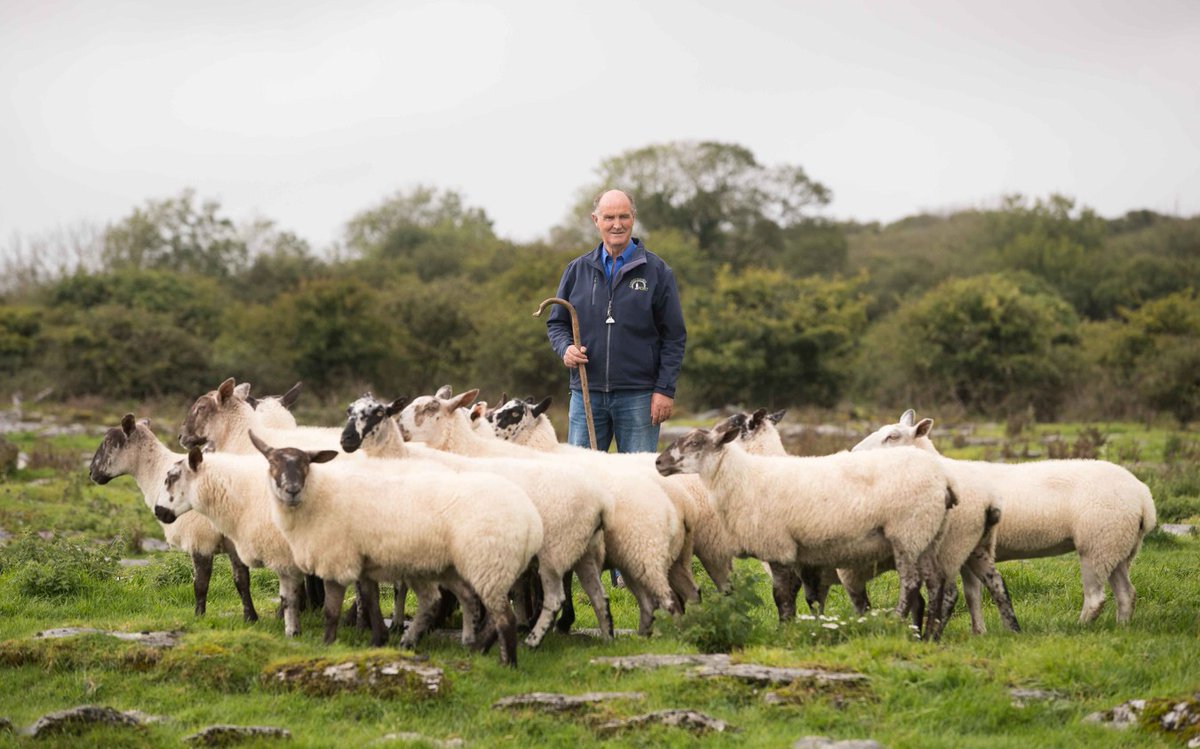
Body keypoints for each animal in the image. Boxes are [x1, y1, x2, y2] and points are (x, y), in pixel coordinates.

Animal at [88, 415, 258, 619]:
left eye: (108, 442)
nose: (91, 472)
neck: (156, 472)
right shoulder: (232, 542)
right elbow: (242, 581)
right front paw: (251, 617)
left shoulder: (200, 538)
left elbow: (201, 584)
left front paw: (198, 617)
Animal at [246, 432, 542, 667]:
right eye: (273, 463)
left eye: (306, 464)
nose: (292, 489)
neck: (317, 499)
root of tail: (531, 520)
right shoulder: (363, 561)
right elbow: (370, 601)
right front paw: (378, 640)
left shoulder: (337, 559)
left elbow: (331, 611)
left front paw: (327, 644)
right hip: (465, 567)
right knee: (476, 606)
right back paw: (473, 648)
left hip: (490, 564)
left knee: (503, 617)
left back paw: (506, 662)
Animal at [343, 396, 614, 648]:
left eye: (430, 408)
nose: (346, 439)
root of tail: (598, 501)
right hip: (581, 550)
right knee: (598, 595)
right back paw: (605, 636)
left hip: (556, 550)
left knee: (557, 594)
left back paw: (534, 638)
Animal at [854, 412, 1152, 624]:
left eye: (893, 436)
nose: (855, 453)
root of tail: (1143, 496)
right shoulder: (967, 550)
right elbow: (972, 596)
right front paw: (979, 632)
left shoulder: (956, 544)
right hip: (1118, 545)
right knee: (1126, 594)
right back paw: (1121, 628)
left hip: (1097, 543)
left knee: (1095, 598)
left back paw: (1080, 627)